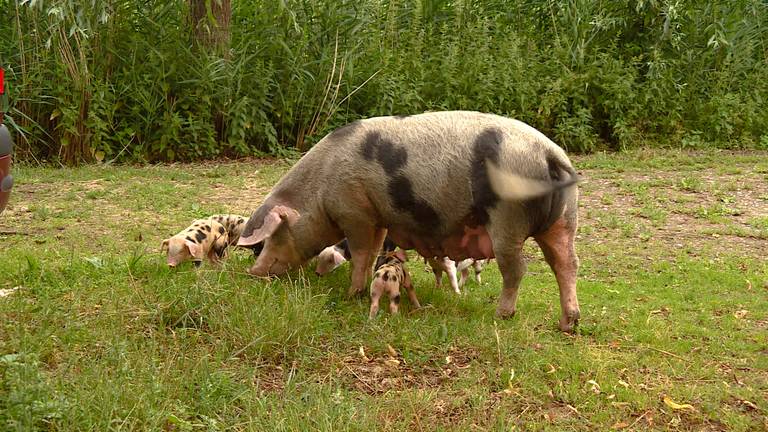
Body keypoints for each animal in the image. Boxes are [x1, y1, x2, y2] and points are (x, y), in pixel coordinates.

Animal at [237, 110, 580, 330]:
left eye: (272, 235)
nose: (253, 273)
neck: (318, 193)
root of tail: (551, 155)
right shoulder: (376, 216)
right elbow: (372, 253)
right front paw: (361, 288)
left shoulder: (354, 212)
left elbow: (361, 253)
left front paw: (350, 294)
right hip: (564, 219)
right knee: (566, 263)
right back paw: (568, 324)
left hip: (508, 216)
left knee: (517, 268)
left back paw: (502, 315)